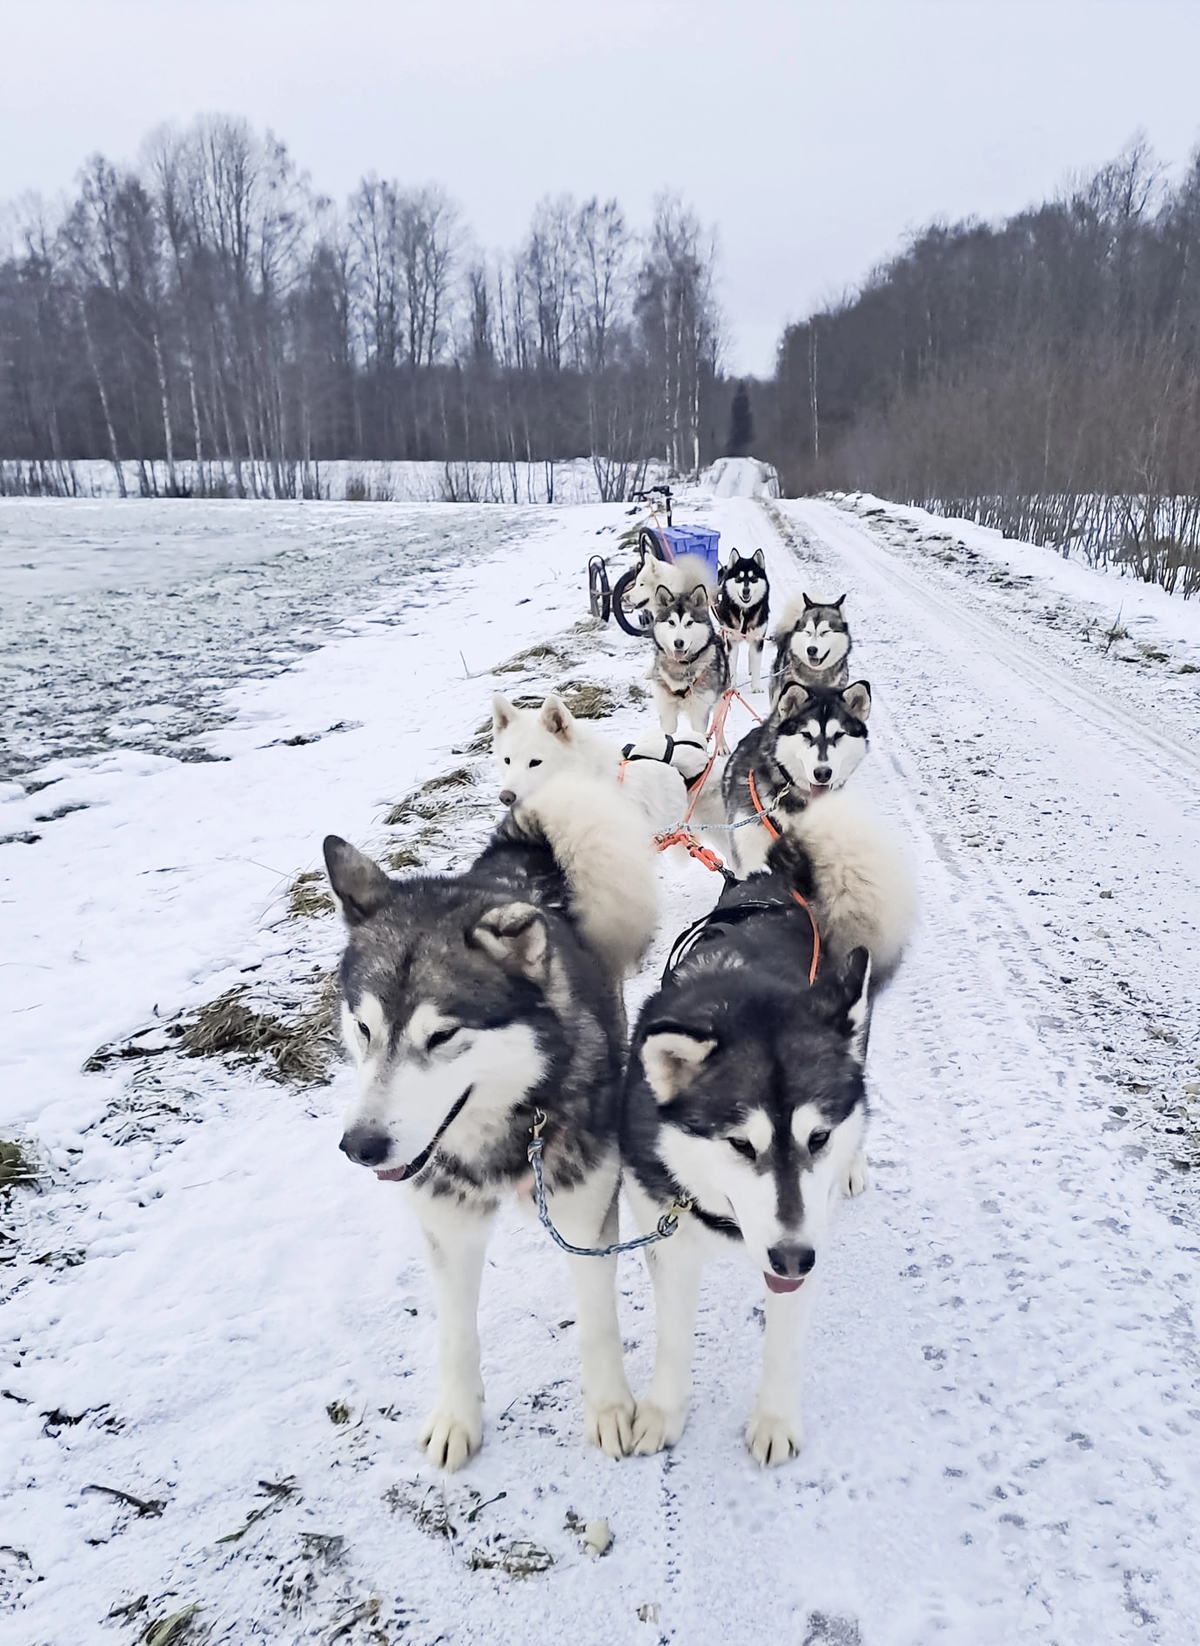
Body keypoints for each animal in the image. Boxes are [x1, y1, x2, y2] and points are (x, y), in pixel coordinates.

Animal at [325, 770, 657, 1471]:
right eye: (364, 1027)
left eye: (443, 1034)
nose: (360, 1146)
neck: (504, 1130)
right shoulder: (447, 1224)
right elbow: (455, 1333)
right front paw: (457, 1418)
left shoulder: (585, 1210)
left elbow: (597, 1321)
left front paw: (609, 1409)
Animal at [620, 793, 915, 1466]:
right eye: (739, 1144)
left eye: (818, 1139)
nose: (794, 1257)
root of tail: (773, 880)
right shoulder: (667, 1237)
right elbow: (673, 1337)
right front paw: (664, 1413)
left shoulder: (807, 1227)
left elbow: (784, 1340)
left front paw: (775, 1420)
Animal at [649, 584, 731, 752]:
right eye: (671, 622)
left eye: (689, 622)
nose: (678, 642)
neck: (681, 669)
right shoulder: (667, 713)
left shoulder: (699, 713)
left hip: (720, 698)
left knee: (718, 722)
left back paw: (721, 746)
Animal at [714, 549, 770, 693]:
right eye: (738, 578)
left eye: (753, 578)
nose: (746, 591)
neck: (745, 612)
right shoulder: (731, 640)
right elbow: (732, 664)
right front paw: (731, 687)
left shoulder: (758, 639)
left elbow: (756, 664)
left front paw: (756, 687)